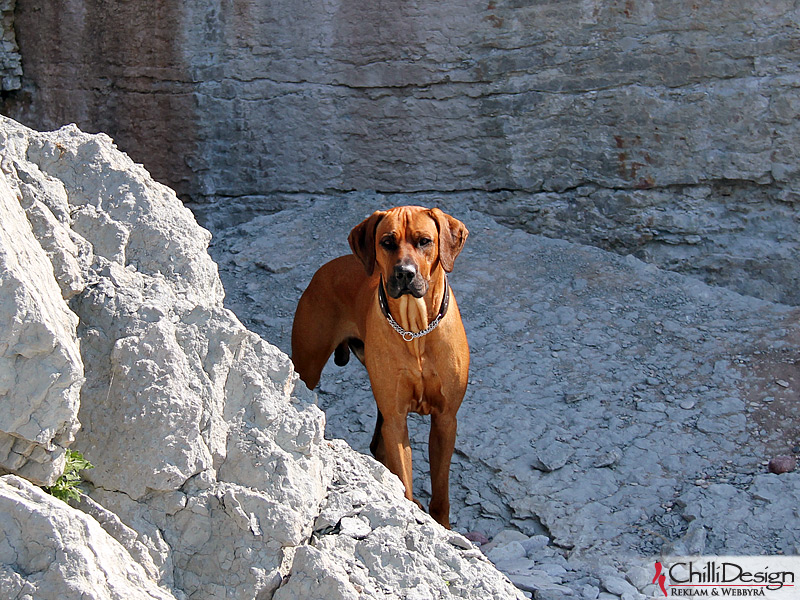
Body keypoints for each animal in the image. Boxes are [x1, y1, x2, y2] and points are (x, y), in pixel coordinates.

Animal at [292, 207, 468, 528]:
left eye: (425, 241)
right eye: (387, 242)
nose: (405, 273)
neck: (415, 330)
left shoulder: (446, 419)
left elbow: (441, 491)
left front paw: (442, 526)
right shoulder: (396, 418)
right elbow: (404, 476)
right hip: (307, 367)